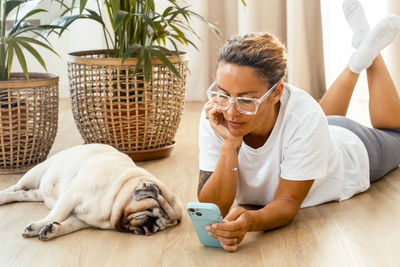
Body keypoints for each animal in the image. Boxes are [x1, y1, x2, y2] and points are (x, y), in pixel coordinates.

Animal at [0, 144, 183, 241]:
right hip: (35, 173)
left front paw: (51, 230)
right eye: (150, 211)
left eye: (163, 226)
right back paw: (2, 196)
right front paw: (38, 227)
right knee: (15, 187)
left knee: (20, 195)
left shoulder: (81, 220)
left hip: (36, 194)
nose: (153, 226)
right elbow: (57, 215)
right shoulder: (71, 196)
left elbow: (68, 225)